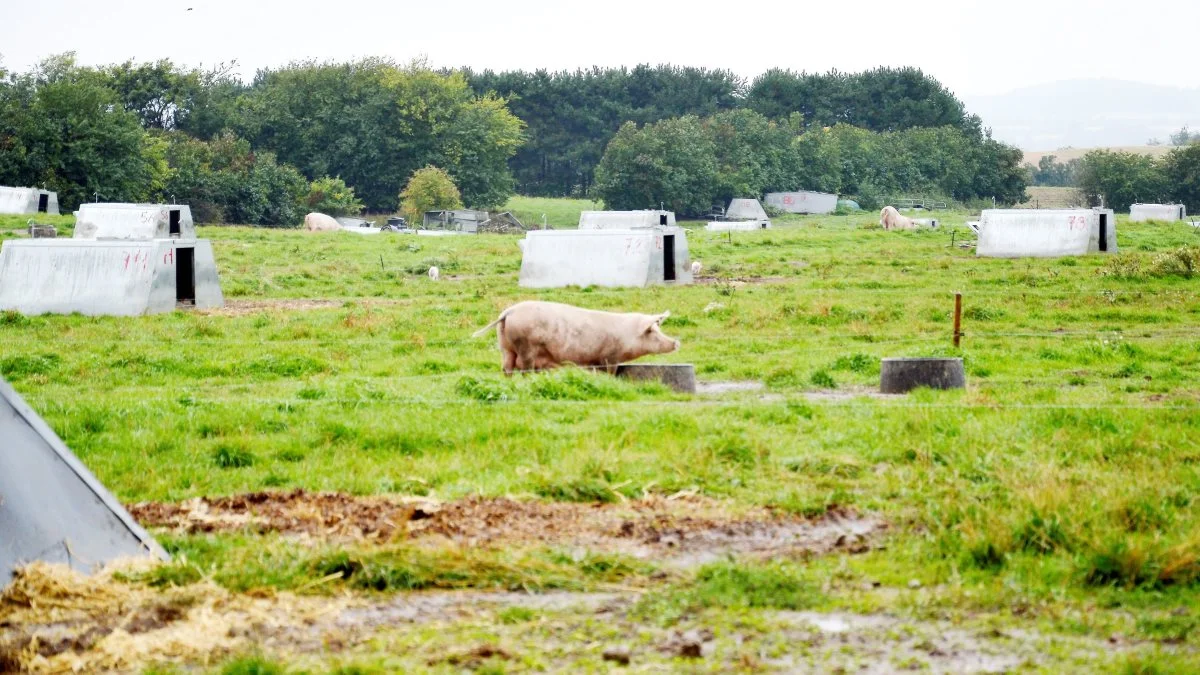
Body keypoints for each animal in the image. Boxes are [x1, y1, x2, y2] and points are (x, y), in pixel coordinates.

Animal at [472, 299, 681, 372]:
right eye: (652, 332)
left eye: (659, 329)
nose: (676, 342)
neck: (627, 334)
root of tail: (508, 313)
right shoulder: (610, 357)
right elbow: (610, 373)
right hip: (526, 347)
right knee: (524, 367)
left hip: (505, 346)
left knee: (506, 367)